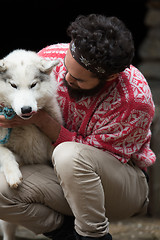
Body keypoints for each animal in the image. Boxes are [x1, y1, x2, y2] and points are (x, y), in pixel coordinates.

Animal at [0, 49, 62, 239]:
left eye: (33, 85)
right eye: (13, 85)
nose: (26, 109)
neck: (24, 124)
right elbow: (5, 152)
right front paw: (13, 174)